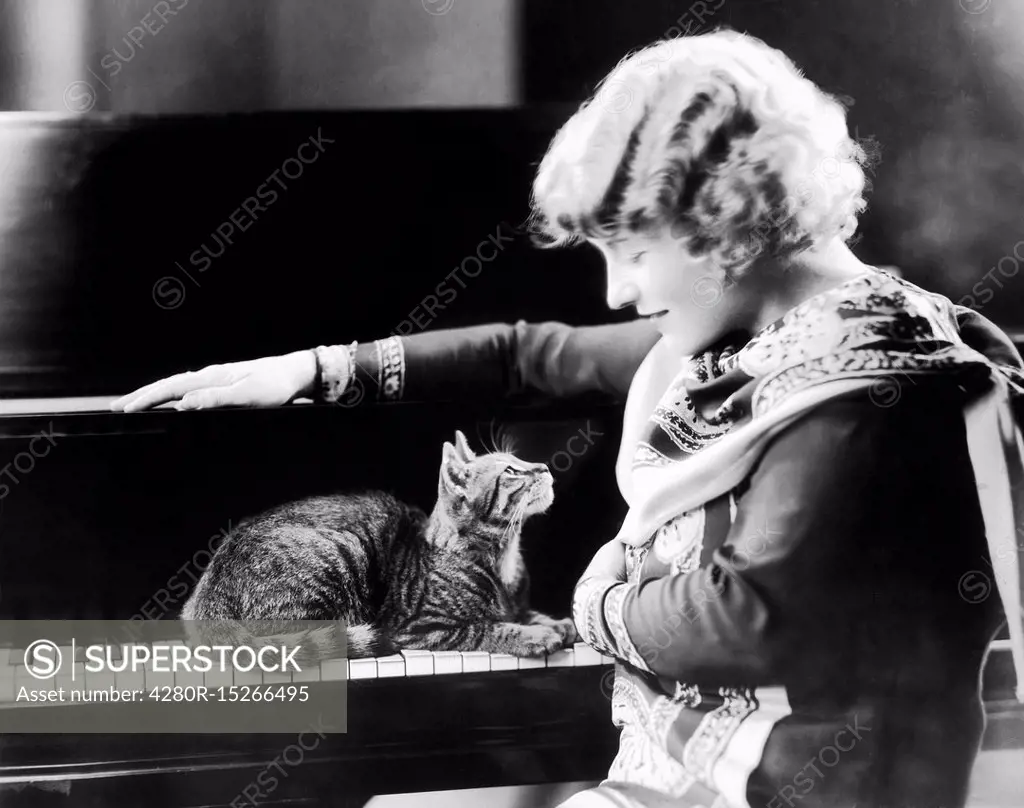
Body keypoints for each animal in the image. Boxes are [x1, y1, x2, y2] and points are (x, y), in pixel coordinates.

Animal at [182, 432, 577, 659]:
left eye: (521, 460)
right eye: (511, 471)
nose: (543, 466)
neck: (503, 557)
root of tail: (205, 597)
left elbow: (528, 614)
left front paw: (558, 624)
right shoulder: (418, 627)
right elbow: (485, 627)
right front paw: (534, 635)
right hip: (342, 551)